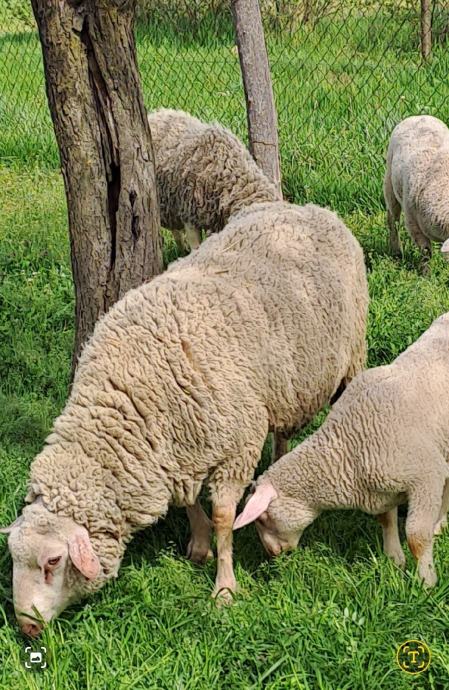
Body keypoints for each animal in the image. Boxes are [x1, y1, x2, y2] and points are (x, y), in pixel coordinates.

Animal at [1, 201, 367, 635]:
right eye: (13, 558)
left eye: (53, 561)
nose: (26, 628)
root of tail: (307, 207)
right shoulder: (177, 452)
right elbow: (188, 500)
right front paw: (199, 545)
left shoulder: (236, 446)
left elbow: (225, 518)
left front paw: (224, 588)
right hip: (282, 389)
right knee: (281, 432)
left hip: (352, 354)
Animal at [234, 312, 449, 588]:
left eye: (262, 518)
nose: (273, 554)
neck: (348, 447)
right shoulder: (384, 490)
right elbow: (386, 520)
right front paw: (393, 560)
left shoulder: (425, 476)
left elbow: (417, 537)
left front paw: (426, 582)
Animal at [384, 115, 449, 269]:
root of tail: (419, 116)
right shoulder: (413, 224)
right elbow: (426, 253)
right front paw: (426, 274)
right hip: (389, 183)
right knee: (392, 220)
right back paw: (397, 252)